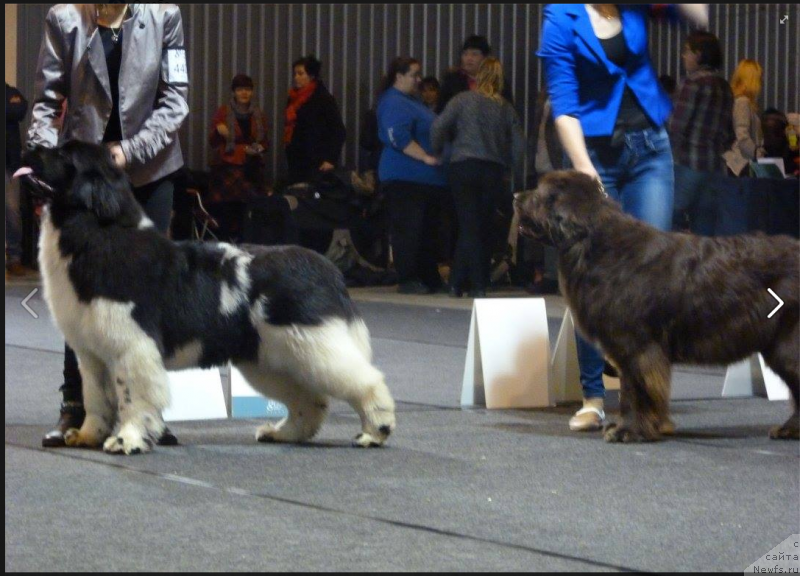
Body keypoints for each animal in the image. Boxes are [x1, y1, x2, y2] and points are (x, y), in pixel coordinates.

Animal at [15, 141, 396, 454]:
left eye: (64, 154)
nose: (29, 144)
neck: (95, 231)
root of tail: (326, 266)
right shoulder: (92, 354)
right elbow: (96, 397)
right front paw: (88, 436)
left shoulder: (131, 346)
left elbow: (132, 397)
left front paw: (127, 440)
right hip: (270, 356)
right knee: (310, 399)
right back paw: (283, 433)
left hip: (312, 344)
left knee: (364, 381)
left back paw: (374, 431)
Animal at [516, 170, 796, 440]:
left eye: (540, 194)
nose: (516, 196)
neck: (596, 246)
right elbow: (632, 390)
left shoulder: (637, 346)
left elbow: (637, 390)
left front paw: (630, 430)